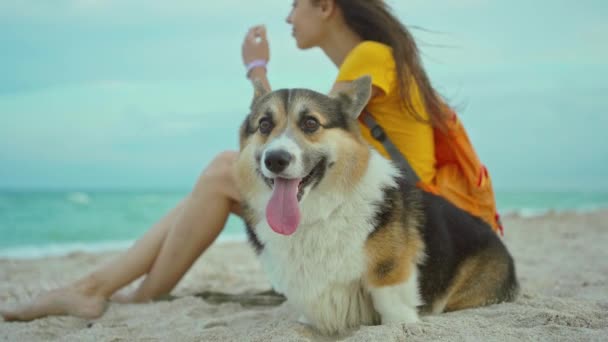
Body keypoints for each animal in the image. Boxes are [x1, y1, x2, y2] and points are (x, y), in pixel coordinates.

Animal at [233, 76, 516, 336]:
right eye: (264, 124)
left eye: (310, 123)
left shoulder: (390, 278)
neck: (318, 214)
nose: (275, 159)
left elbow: (394, 313)